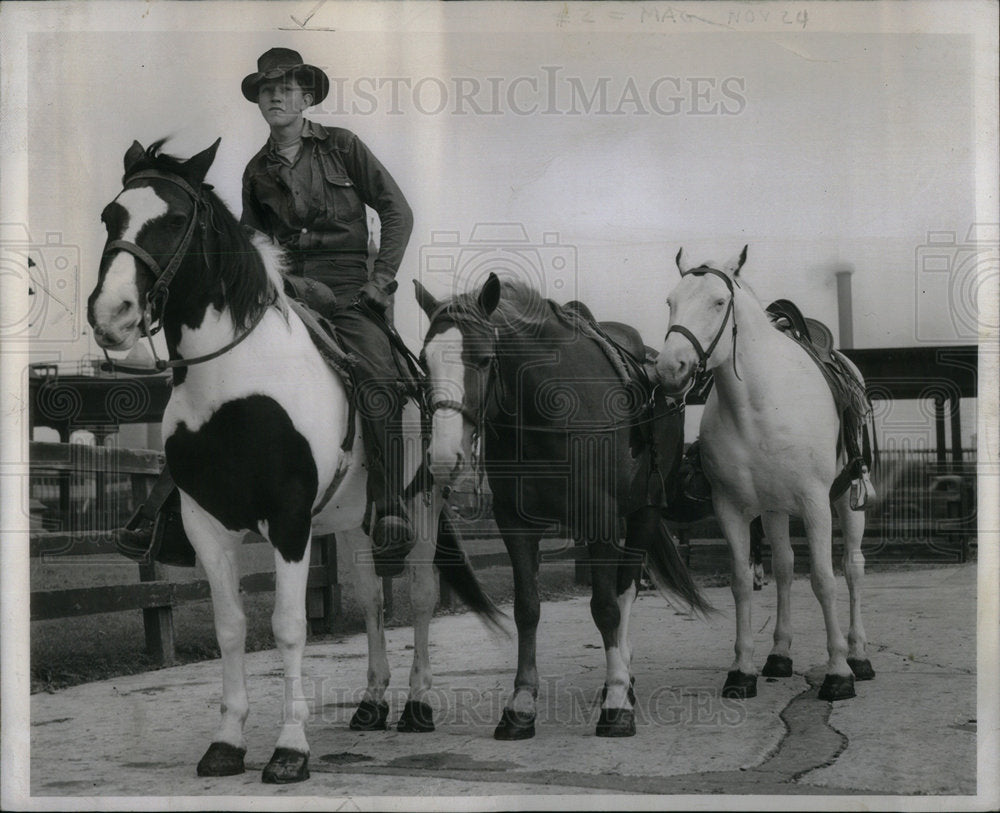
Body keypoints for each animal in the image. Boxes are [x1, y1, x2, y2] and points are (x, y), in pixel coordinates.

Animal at [86, 140, 500, 780]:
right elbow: (232, 628)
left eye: (175, 220)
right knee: (373, 602)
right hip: (356, 522)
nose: (112, 315)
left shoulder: (288, 522)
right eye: (111, 216)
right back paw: (372, 704)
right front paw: (227, 742)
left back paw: (418, 704)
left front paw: (289, 748)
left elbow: (287, 626)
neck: (234, 384)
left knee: (420, 597)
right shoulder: (207, 527)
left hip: (423, 508)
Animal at [414, 274, 712, 744]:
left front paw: (616, 703)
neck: (551, 410)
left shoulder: (602, 520)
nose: (444, 458)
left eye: (484, 359)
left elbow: (606, 607)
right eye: (425, 363)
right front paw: (520, 705)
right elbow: (527, 609)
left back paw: (621, 680)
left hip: (643, 512)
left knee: (626, 588)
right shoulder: (515, 525)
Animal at [652, 246, 872, 696]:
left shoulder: (815, 503)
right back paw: (780, 655)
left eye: (719, 302)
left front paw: (838, 671)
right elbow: (742, 582)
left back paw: (859, 656)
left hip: (847, 500)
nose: (670, 369)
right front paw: (742, 669)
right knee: (785, 569)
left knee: (852, 568)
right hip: (773, 511)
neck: (758, 405)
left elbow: (824, 579)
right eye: (671, 302)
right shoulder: (731, 508)